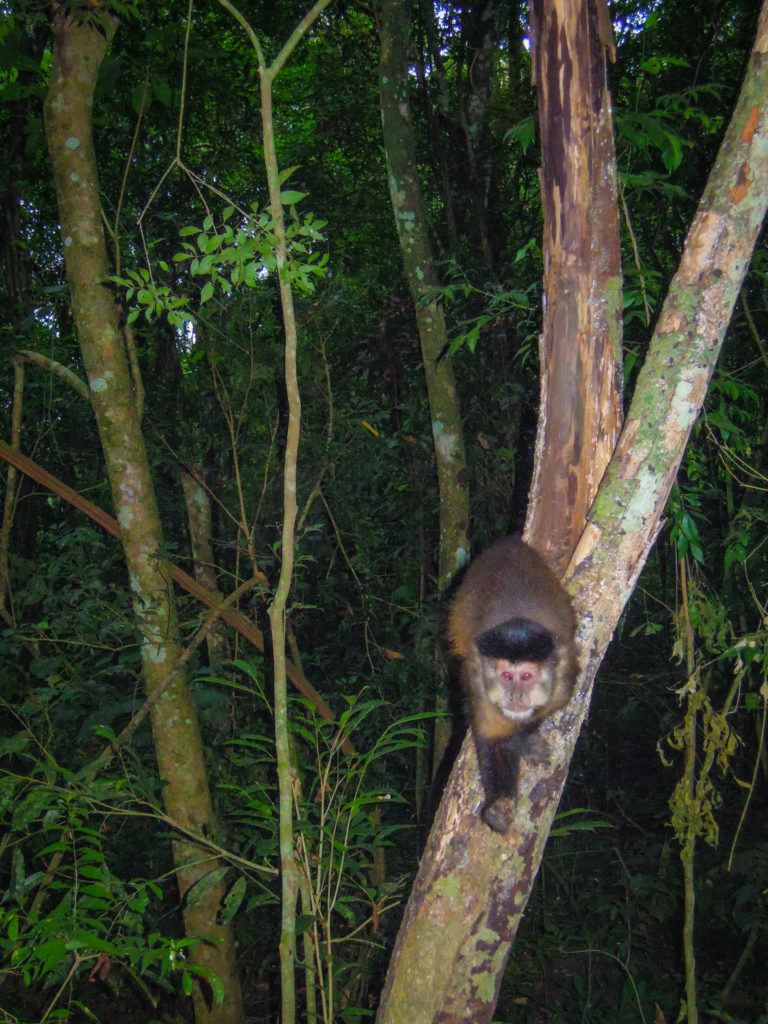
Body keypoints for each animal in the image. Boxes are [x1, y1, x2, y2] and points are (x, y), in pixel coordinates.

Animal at [448, 537, 578, 834]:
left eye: (526, 677)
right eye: (507, 676)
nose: (516, 696)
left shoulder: (563, 676)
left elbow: (548, 709)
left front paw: (525, 738)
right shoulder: (479, 681)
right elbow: (492, 738)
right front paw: (498, 806)